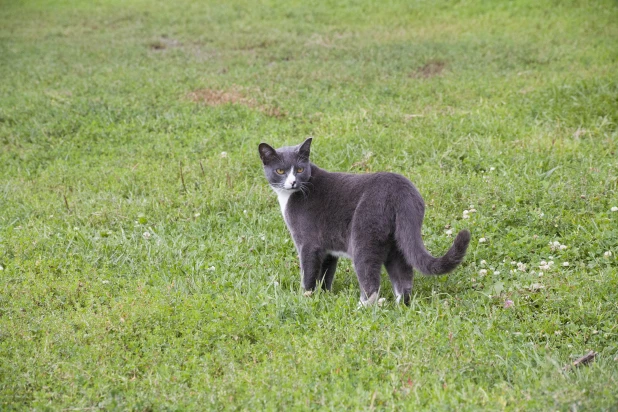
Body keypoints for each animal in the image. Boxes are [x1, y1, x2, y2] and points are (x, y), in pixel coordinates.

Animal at [258, 138, 470, 306]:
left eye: (300, 169)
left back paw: (361, 307)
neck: (289, 196)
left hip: (364, 235)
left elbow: (309, 275)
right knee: (403, 278)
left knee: (371, 281)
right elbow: (326, 275)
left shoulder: (308, 243)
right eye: (280, 170)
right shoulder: (328, 249)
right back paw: (400, 306)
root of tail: (399, 189)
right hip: (397, 242)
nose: (292, 182)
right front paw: (323, 296)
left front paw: (306, 298)